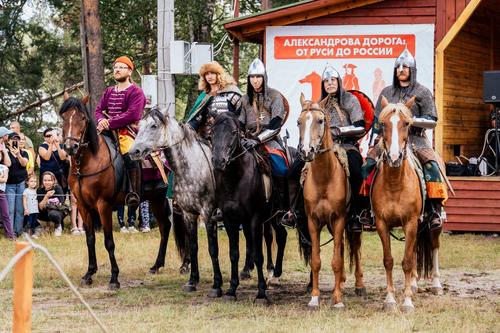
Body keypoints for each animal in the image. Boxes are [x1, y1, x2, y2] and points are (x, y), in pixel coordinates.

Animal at [59, 92, 179, 288]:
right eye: (64, 117)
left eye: (82, 118)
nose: (70, 147)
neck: (87, 163)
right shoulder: (84, 206)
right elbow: (90, 239)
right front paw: (89, 274)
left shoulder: (104, 205)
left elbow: (109, 241)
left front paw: (114, 278)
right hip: (156, 199)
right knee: (165, 226)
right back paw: (156, 265)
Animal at [129, 105, 223, 296]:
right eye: (139, 126)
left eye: (154, 126)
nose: (133, 152)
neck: (193, 167)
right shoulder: (188, 214)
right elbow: (193, 246)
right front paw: (192, 281)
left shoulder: (208, 214)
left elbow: (213, 248)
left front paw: (217, 284)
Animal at [296, 92, 364, 308]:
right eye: (299, 122)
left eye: (320, 120)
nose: (306, 151)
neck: (324, 178)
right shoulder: (313, 222)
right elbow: (317, 261)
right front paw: (314, 298)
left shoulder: (339, 219)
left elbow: (336, 260)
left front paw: (337, 300)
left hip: (350, 224)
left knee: (354, 248)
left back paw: (358, 285)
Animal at [374, 95, 444, 312]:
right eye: (383, 124)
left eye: (406, 123)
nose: (394, 157)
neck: (396, 183)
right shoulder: (382, 224)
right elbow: (389, 261)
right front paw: (390, 300)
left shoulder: (411, 222)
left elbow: (405, 261)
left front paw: (406, 303)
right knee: (413, 251)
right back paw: (412, 284)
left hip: (431, 225)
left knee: (434, 246)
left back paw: (436, 285)